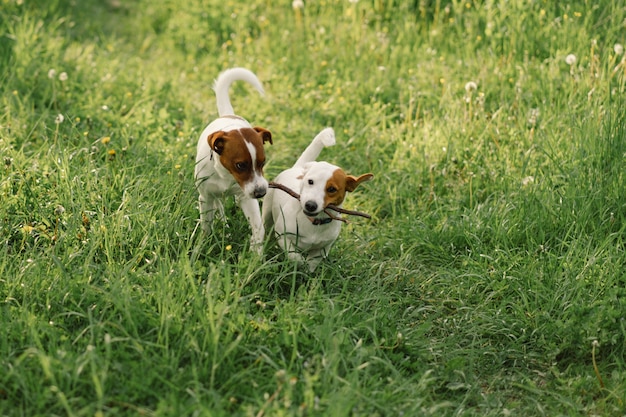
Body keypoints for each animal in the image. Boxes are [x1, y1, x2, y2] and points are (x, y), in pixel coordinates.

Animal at [194, 67, 272, 254]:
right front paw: (203, 245)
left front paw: (256, 251)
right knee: (219, 205)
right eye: (240, 165)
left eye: (263, 162)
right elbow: (206, 226)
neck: (226, 175)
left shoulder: (247, 198)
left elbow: (258, 227)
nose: (261, 193)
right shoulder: (205, 197)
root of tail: (228, 114)